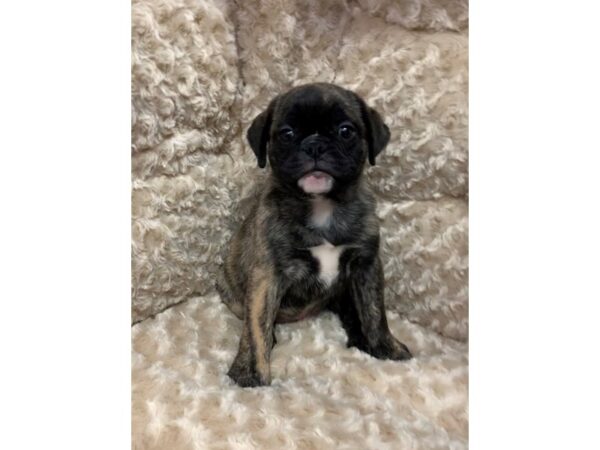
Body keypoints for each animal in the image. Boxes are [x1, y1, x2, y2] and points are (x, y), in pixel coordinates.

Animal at [217, 81, 412, 386]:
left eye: (345, 131)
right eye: (287, 134)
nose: (315, 145)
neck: (322, 205)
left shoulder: (366, 265)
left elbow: (374, 312)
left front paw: (386, 348)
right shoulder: (266, 276)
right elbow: (255, 327)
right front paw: (249, 372)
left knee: (352, 310)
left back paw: (360, 338)